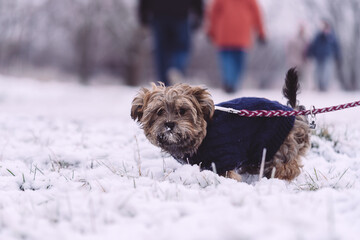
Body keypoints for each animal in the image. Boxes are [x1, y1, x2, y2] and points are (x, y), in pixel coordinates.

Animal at [131, 68, 310, 181]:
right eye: (159, 111)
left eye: (182, 111)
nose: (169, 124)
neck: (201, 136)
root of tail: (293, 112)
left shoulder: (222, 159)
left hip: (277, 145)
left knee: (287, 166)